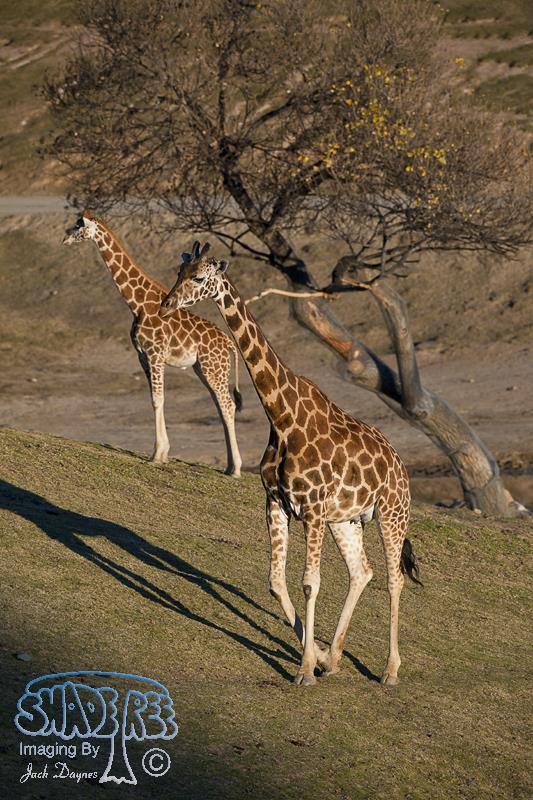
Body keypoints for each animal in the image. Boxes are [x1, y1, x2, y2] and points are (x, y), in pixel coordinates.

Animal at [62, 212, 242, 476]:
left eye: (79, 226)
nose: (64, 238)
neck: (137, 304)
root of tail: (229, 342)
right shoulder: (143, 356)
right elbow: (154, 399)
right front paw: (163, 453)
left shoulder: (156, 354)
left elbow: (158, 399)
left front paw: (157, 455)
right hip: (204, 368)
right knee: (221, 406)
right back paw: (229, 465)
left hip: (213, 368)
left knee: (228, 405)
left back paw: (236, 468)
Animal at [160, 241, 422, 687]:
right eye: (179, 273)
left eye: (199, 278)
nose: (166, 304)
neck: (282, 416)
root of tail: (401, 466)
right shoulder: (277, 502)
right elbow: (275, 582)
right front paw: (317, 656)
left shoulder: (312, 510)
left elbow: (310, 583)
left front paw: (304, 670)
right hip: (346, 520)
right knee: (362, 571)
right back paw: (335, 656)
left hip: (391, 513)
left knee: (393, 578)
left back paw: (389, 670)